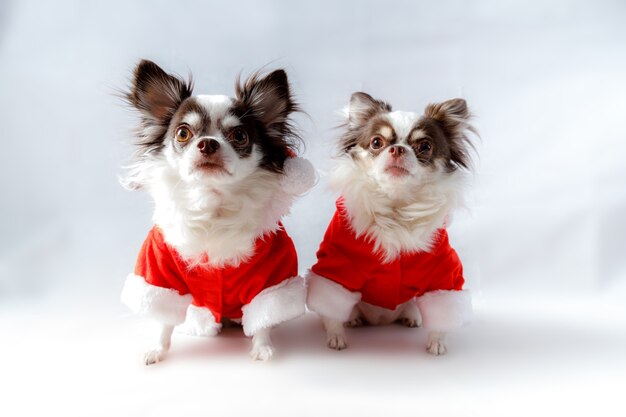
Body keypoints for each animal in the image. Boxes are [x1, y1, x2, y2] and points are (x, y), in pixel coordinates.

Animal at [118, 60, 312, 362]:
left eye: (239, 135)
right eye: (183, 133)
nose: (208, 142)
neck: (213, 205)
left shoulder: (270, 277)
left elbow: (264, 316)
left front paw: (262, 347)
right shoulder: (160, 271)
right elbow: (163, 318)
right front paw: (158, 349)